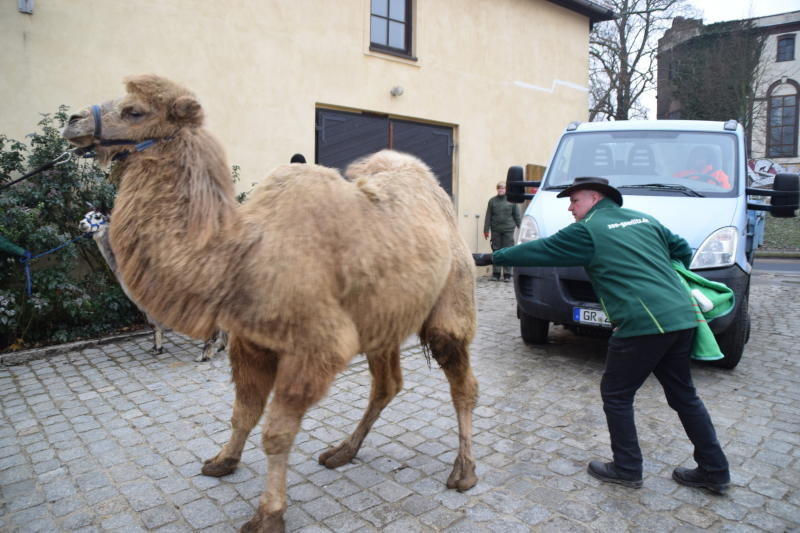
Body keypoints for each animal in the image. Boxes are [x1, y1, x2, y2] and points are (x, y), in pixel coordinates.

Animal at [77, 209, 228, 362]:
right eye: (84, 216)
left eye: (97, 217)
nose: (81, 223)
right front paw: (156, 348)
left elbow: (153, 324)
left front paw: (158, 349)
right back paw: (220, 347)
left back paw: (205, 354)